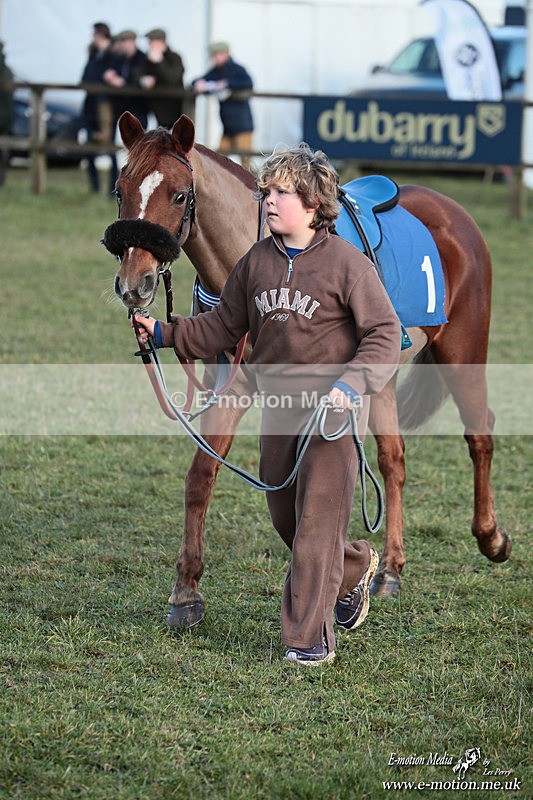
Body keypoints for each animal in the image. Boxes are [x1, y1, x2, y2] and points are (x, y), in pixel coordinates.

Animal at [104, 111, 511, 629]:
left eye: (178, 194)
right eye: (121, 189)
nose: (133, 284)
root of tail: (454, 215)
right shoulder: (230, 387)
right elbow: (201, 476)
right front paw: (186, 591)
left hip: (462, 351)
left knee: (480, 434)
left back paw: (491, 537)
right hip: (382, 378)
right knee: (393, 460)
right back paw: (390, 569)